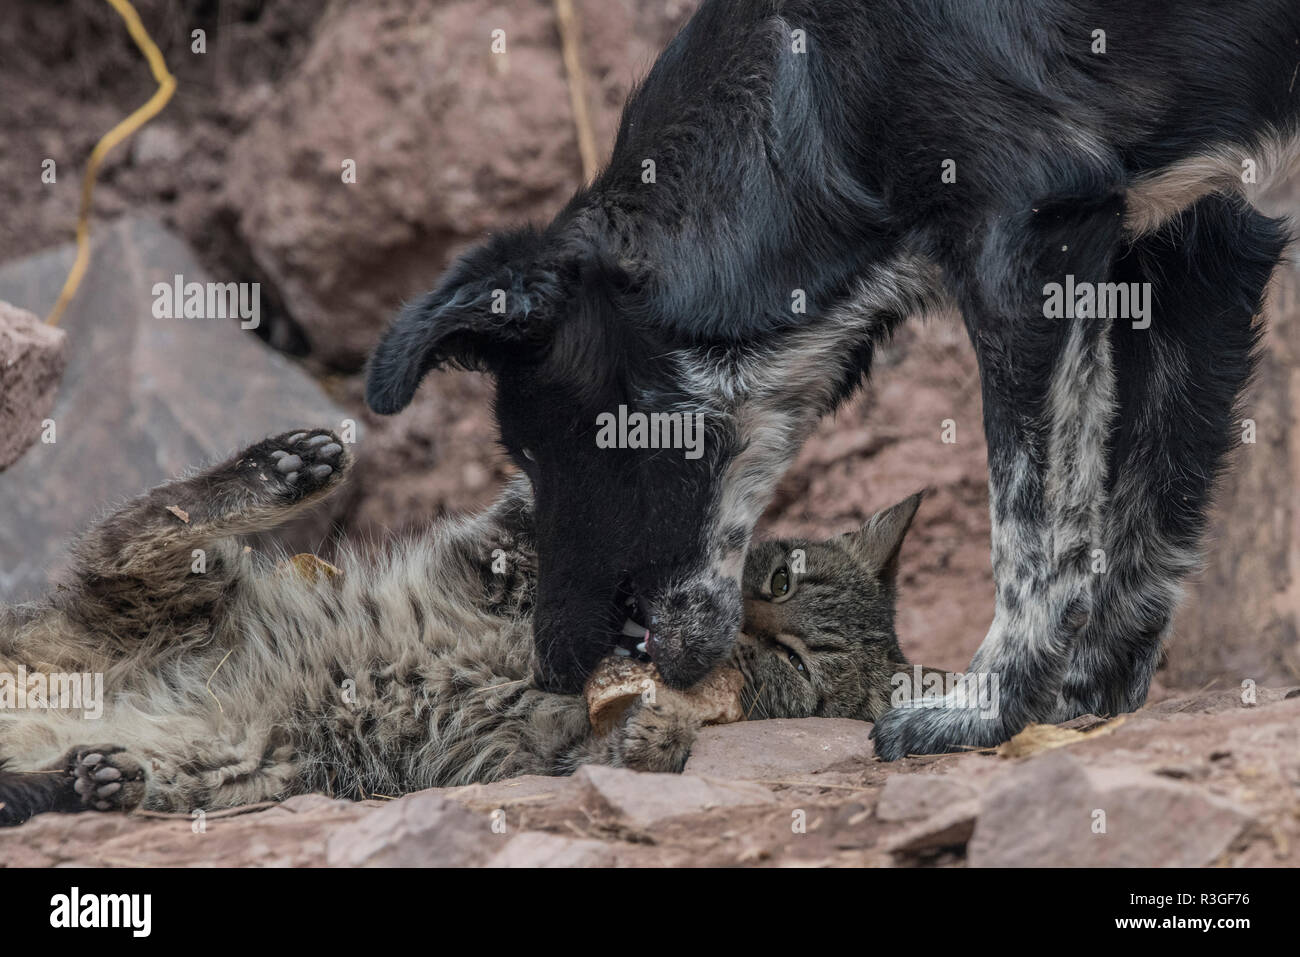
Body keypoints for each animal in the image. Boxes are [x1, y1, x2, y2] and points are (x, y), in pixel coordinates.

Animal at [5, 426, 930, 821]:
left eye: (795, 663)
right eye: (777, 576)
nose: (740, 622)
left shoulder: (512, 751)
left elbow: (604, 746)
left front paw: (654, 734)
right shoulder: (494, 554)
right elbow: (543, 514)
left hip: (258, 758)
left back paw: (98, 776)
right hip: (188, 589)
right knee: (156, 519)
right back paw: (284, 466)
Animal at [366, 1, 1300, 764]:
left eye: (544, 447)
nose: (554, 665)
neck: (808, 80)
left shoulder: (1030, 236)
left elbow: (1033, 524)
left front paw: (984, 708)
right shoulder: (1202, 242)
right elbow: (1152, 517)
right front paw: (1082, 707)